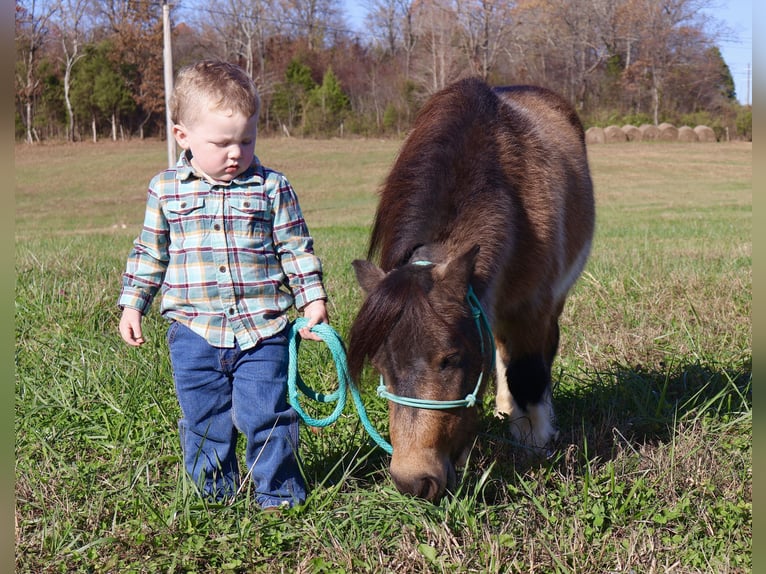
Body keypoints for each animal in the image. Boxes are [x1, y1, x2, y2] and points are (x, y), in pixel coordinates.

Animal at [350, 77, 600, 504]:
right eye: (382, 366)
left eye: (450, 359)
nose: (413, 482)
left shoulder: (532, 308)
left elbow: (527, 372)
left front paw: (534, 440)